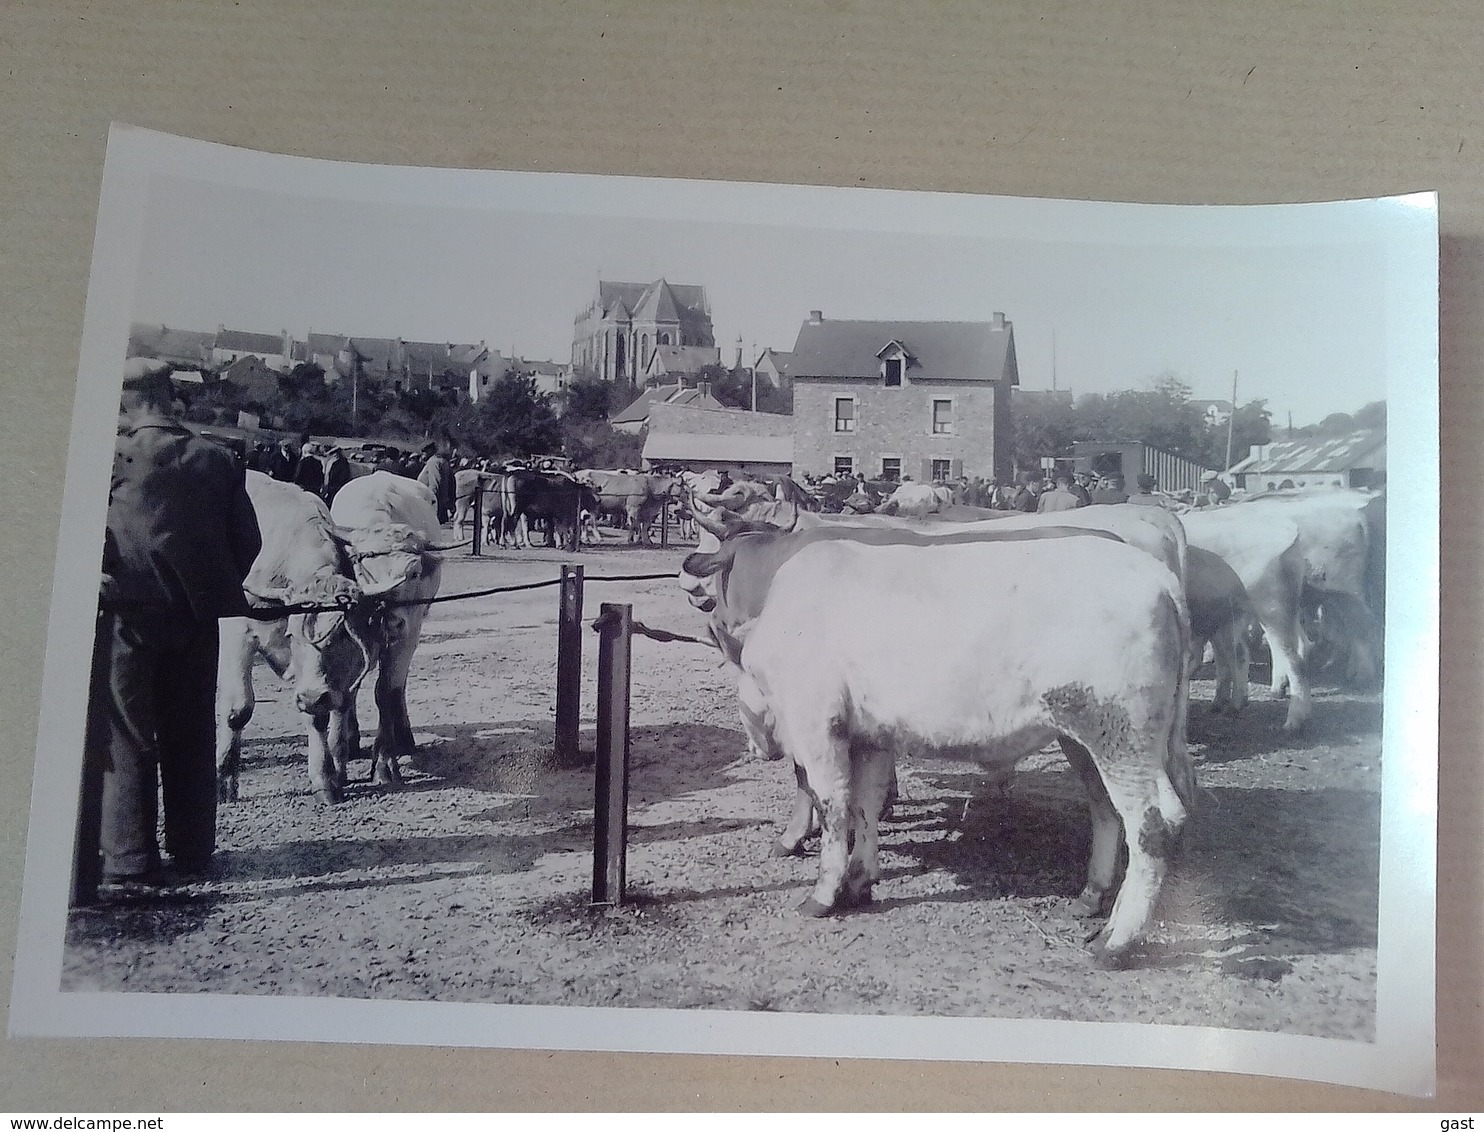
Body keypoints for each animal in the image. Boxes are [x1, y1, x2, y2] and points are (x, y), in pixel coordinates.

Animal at [335, 468, 445, 789]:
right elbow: (350, 688)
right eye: (361, 570)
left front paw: (384, 762)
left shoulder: (408, 634)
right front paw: (349, 742)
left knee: (399, 686)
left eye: (415, 572)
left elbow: (385, 690)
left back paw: (404, 736)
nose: (391, 621)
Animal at [742, 537, 1193, 967]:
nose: (755, 747)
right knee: (1111, 809)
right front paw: (859, 881)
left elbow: (833, 806)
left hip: (1117, 727)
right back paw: (1092, 902)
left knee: (1151, 825)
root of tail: (1157, 576)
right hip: (1095, 738)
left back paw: (1115, 945)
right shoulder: (871, 736)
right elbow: (865, 806)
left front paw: (823, 895)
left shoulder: (815, 720)